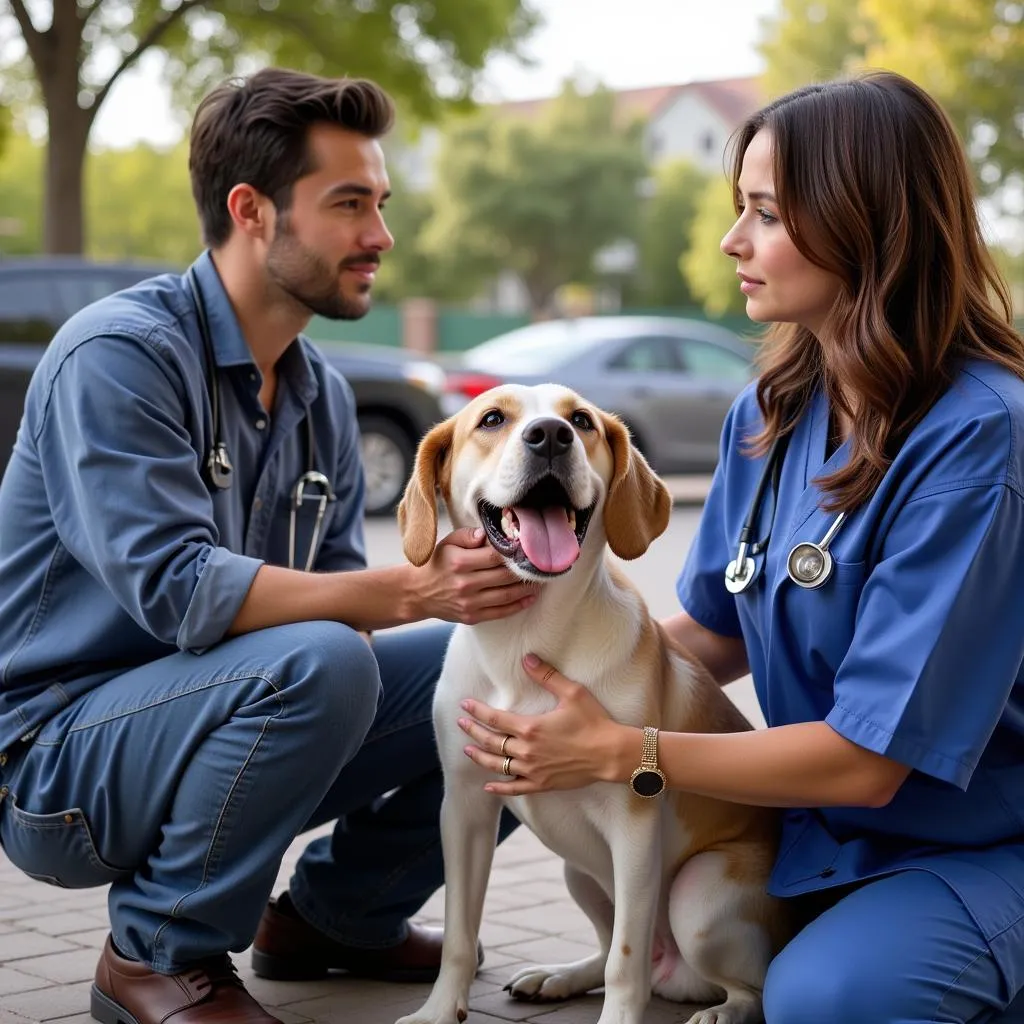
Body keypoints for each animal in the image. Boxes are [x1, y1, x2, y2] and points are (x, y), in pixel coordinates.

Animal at [395, 385, 786, 1024]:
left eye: (580, 421)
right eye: (492, 419)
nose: (550, 436)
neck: (525, 642)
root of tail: (680, 977)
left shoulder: (634, 827)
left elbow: (625, 963)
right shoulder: (464, 810)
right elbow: (458, 932)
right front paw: (439, 1010)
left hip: (698, 895)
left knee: (744, 985)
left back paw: (722, 1009)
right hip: (577, 873)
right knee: (607, 953)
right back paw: (558, 976)